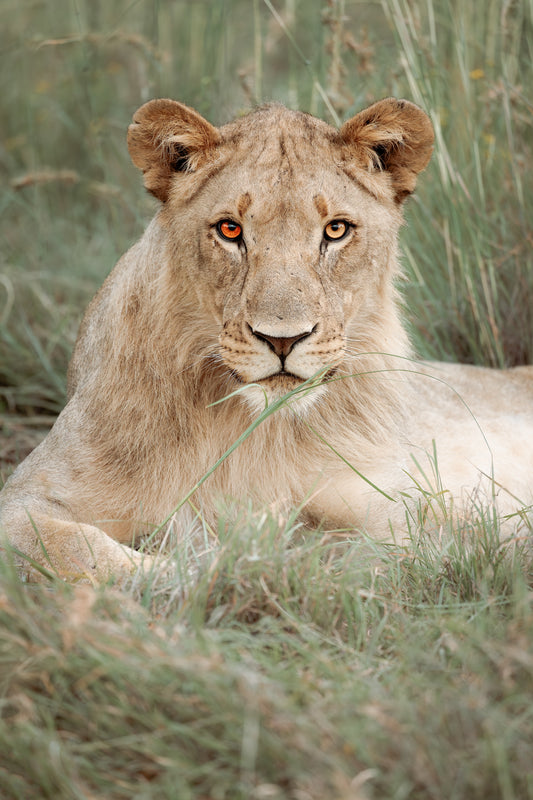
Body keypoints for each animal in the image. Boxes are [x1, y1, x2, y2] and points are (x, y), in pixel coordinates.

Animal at [1, 98, 532, 580]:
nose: (282, 340)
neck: (253, 430)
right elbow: (76, 549)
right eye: (229, 229)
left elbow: (383, 552)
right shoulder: (28, 496)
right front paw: (192, 572)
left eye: (336, 230)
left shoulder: (397, 505)